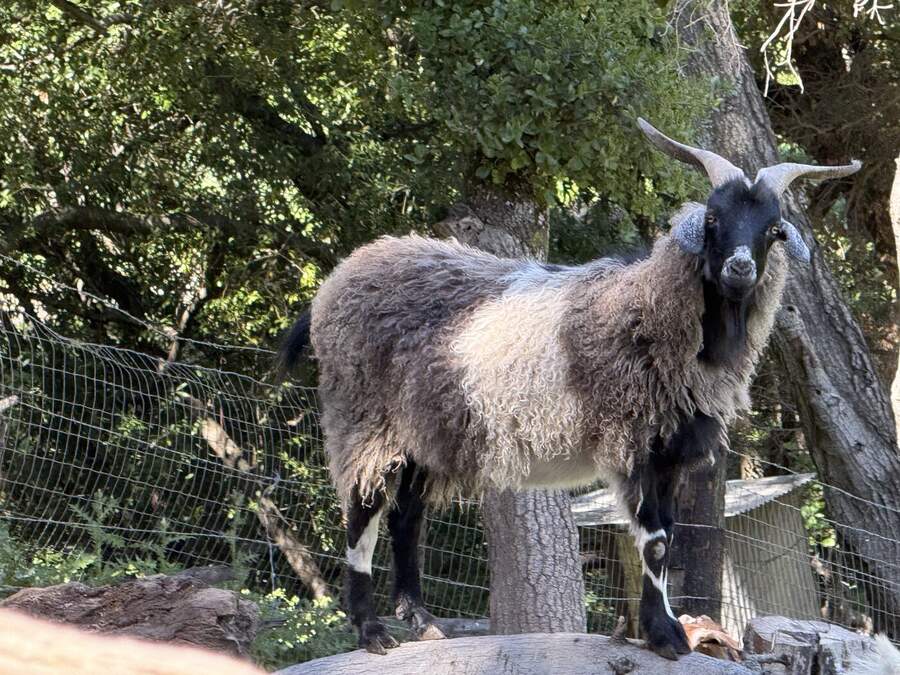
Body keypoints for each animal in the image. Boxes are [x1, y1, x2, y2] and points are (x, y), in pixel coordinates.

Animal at [279, 119, 859, 660]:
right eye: (713, 218)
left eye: (775, 229)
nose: (740, 268)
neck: (643, 306)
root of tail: (333, 284)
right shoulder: (632, 439)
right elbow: (654, 540)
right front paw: (665, 635)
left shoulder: (672, 450)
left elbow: (668, 537)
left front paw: (662, 629)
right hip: (363, 416)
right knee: (362, 513)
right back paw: (370, 630)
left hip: (428, 432)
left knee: (405, 518)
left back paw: (422, 621)